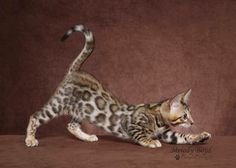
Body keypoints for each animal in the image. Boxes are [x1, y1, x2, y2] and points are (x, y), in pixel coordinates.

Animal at [24, 24, 211, 148]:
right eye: (185, 116)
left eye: (190, 114)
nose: (193, 122)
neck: (157, 116)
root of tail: (75, 71)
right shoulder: (131, 125)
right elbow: (140, 135)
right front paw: (150, 141)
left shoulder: (167, 133)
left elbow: (181, 136)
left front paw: (199, 136)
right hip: (58, 104)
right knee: (35, 116)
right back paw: (30, 139)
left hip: (82, 110)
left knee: (71, 125)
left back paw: (87, 138)